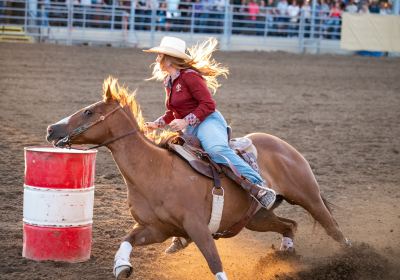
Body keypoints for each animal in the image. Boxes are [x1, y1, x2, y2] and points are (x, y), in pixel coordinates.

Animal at [45, 77, 348, 278]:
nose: (51, 129)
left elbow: (215, 264)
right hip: (255, 218)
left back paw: (350, 257)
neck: (155, 171)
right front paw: (121, 265)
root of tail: (283, 145)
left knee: (333, 229)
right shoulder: (156, 229)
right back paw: (284, 255)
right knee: (289, 225)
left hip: (308, 197)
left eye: (88, 112)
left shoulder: (198, 227)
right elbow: (127, 239)